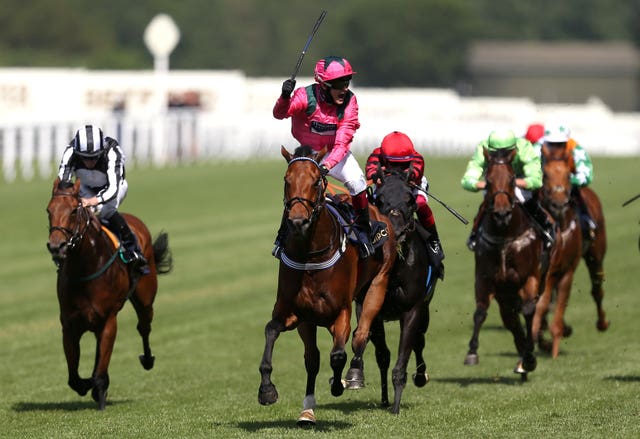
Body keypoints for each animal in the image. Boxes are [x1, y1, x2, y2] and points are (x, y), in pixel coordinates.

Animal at [45, 177, 172, 410]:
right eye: (49, 210)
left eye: (74, 211)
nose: (56, 246)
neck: (85, 267)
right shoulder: (69, 324)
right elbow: (74, 378)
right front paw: (89, 384)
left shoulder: (108, 319)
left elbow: (100, 371)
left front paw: (99, 390)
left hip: (145, 299)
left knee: (144, 326)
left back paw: (147, 359)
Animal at [258, 147, 398, 426]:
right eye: (286, 180)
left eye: (315, 181)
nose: (297, 222)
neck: (310, 257)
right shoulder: (296, 313)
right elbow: (272, 332)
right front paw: (267, 390)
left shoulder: (340, 312)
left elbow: (338, 354)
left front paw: (338, 383)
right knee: (314, 358)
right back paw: (308, 410)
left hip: (377, 285)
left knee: (360, 335)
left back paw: (353, 374)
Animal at [356, 171, 440, 416]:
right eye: (379, 199)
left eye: (410, 199)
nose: (397, 230)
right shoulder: (368, 309)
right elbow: (381, 355)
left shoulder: (413, 309)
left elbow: (404, 357)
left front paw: (395, 407)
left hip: (425, 310)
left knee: (420, 340)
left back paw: (420, 376)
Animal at [462, 149, 548, 382]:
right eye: (488, 180)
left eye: (511, 179)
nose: (502, 214)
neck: (504, 237)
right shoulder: (485, 279)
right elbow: (480, 312)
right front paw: (472, 352)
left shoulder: (529, 277)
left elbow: (529, 311)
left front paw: (530, 357)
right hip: (505, 297)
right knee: (512, 322)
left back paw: (526, 359)